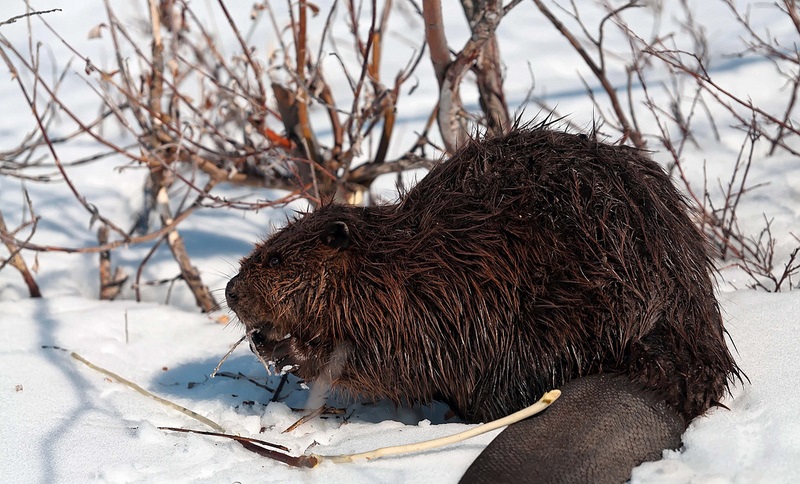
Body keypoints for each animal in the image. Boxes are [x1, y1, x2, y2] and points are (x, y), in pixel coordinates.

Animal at [223, 126, 736, 482]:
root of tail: (650, 381)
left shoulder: (429, 302)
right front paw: (264, 340)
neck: (394, 262)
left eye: (274, 258)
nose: (229, 290)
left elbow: (389, 358)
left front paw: (282, 348)